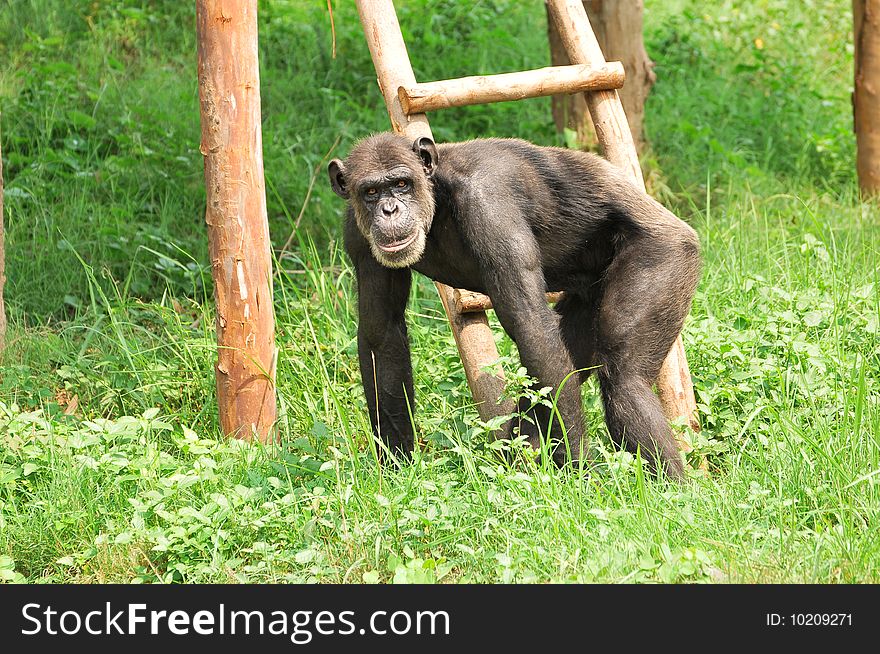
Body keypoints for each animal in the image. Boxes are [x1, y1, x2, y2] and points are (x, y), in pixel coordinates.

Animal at [326, 133, 696, 480]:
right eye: (371, 191)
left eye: (401, 184)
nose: (389, 209)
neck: (437, 195)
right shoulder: (356, 233)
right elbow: (381, 333)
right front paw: (397, 465)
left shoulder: (490, 206)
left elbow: (529, 324)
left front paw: (578, 468)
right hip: (589, 295)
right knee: (553, 371)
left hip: (665, 255)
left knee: (623, 376)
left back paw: (674, 490)